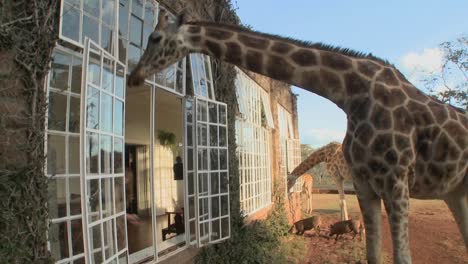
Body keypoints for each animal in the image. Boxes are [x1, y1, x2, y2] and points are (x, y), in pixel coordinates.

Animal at [128, 10, 468, 264]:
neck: (352, 93)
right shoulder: (364, 183)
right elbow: (371, 252)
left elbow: (401, 255)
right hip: (455, 191)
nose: (133, 76)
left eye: (155, 37)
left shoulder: (396, 182)